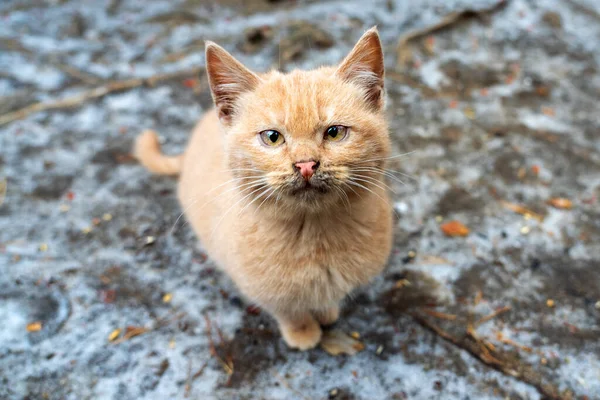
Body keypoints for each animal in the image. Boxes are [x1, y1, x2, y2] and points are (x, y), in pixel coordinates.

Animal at [135, 26, 394, 348]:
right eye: (272, 137)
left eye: (334, 133)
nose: (305, 164)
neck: (314, 234)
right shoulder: (261, 289)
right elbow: (289, 310)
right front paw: (303, 332)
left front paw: (326, 312)